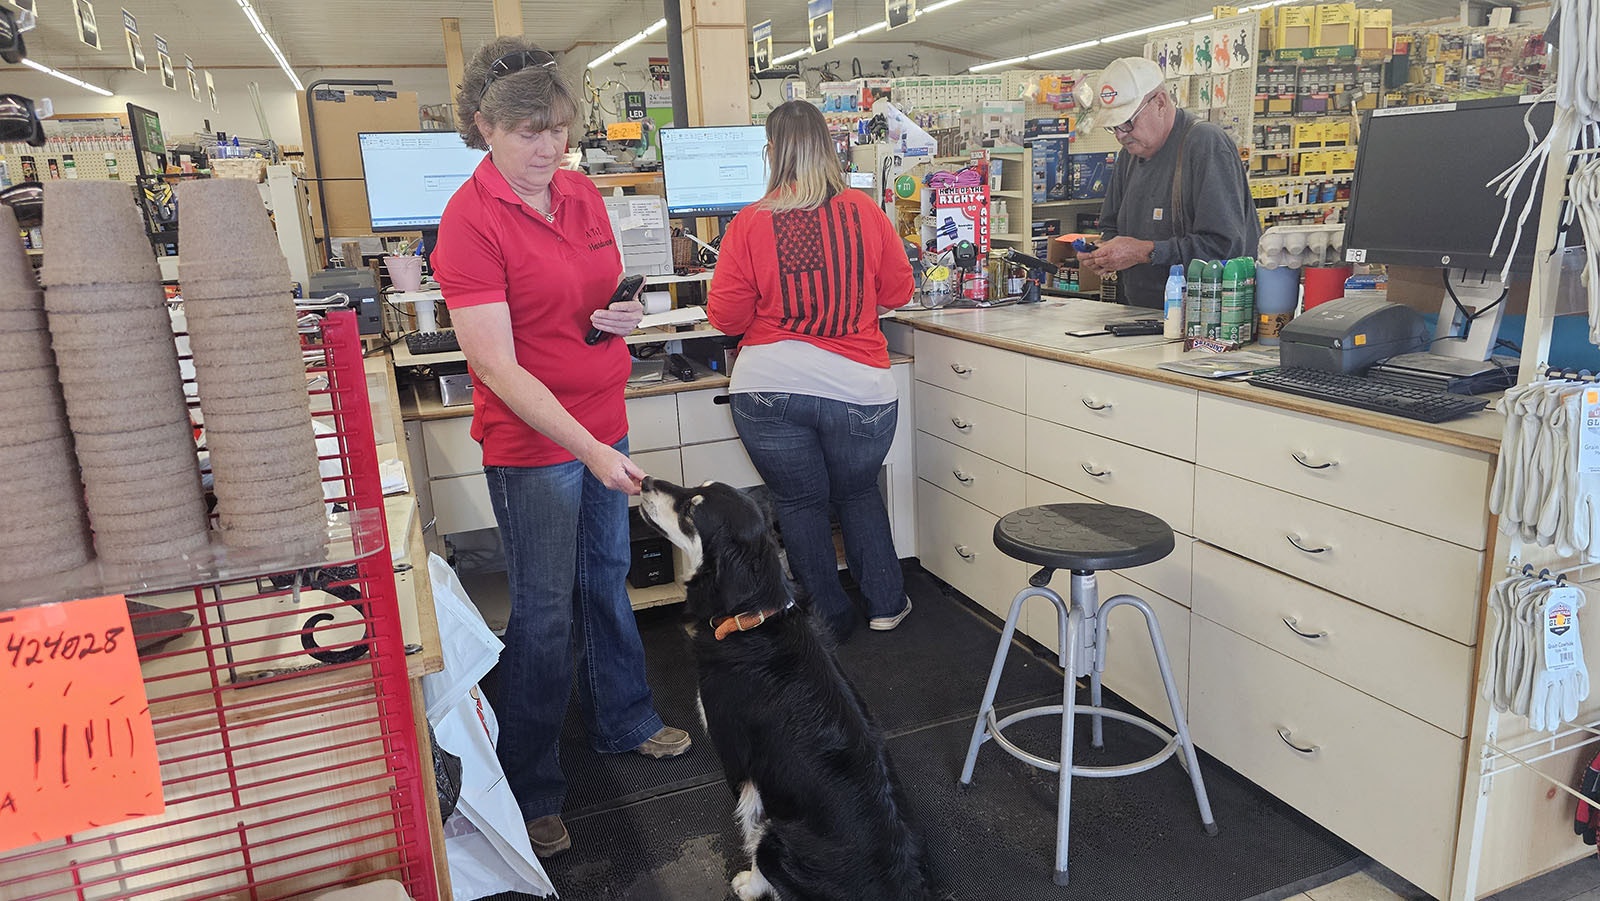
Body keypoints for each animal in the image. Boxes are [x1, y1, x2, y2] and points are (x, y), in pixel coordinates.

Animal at [636, 476, 934, 896]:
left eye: (692, 507)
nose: (645, 480)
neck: (752, 622)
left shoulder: (739, 761)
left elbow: (750, 824)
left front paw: (749, 885)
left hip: (777, 844)